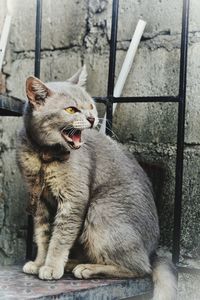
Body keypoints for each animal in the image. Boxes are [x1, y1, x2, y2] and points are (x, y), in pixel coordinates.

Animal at [16, 66, 177, 300]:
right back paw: (72, 263)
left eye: (90, 105)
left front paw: (51, 267)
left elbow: (60, 238)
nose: (92, 118)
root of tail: (153, 251)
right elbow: (43, 236)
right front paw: (39, 263)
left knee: (140, 267)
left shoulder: (73, 200)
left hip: (100, 211)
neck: (44, 155)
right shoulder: (40, 202)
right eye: (71, 110)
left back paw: (86, 268)